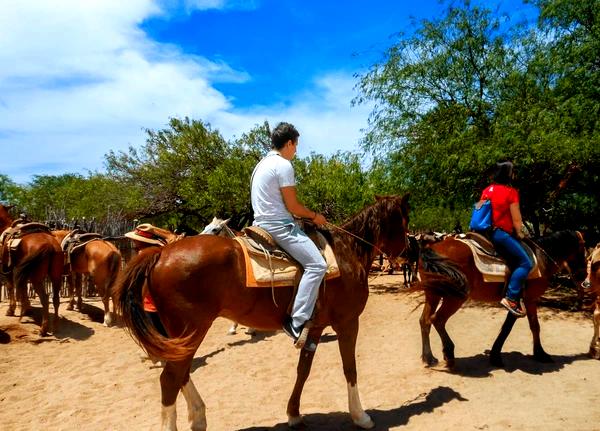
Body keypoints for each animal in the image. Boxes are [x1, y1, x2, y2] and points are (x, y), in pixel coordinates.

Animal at [0, 205, 63, 334]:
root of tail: (49, 245)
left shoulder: (7, 270)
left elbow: (10, 288)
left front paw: (11, 310)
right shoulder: (21, 272)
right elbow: (23, 289)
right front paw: (26, 309)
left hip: (36, 278)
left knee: (45, 298)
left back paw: (43, 329)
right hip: (56, 276)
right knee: (55, 298)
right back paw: (55, 326)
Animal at [115, 195, 410, 428]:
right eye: (405, 220)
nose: (407, 251)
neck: (347, 251)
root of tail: (160, 254)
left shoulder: (314, 327)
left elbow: (303, 370)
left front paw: (294, 414)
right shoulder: (348, 323)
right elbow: (350, 369)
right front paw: (361, 416)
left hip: (180, 337)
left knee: (180, 374)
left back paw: (199, 417)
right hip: (191, 330)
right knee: (170, 379)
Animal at [418, 231, 584, 370]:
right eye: (583, 250)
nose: (583, 277)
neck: (541, 259)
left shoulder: (523, 301)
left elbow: (527, 326)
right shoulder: (527, 300)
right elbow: (517, 327)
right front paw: (539, 354)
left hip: (433, 295)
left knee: (425, 320)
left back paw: (429, 358)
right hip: (455, 297)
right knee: (437, 319)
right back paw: (449, 354)